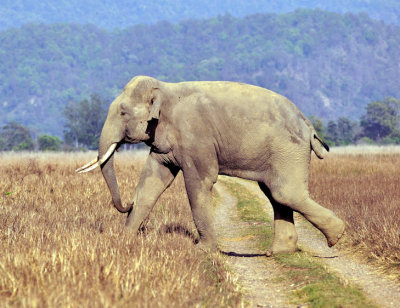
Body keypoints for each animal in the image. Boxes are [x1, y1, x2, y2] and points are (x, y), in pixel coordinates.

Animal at [76, 76, 346, 255]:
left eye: (122, 113)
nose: (127, 203)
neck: (165, 88)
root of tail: (307, 124)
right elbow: (153, 181)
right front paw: (124, 240)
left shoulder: (195, 136)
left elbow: (199, 182)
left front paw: (202, 251)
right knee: (274, 194)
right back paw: (279, 252)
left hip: (287, 150)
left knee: (285, 193)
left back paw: (337, 236)